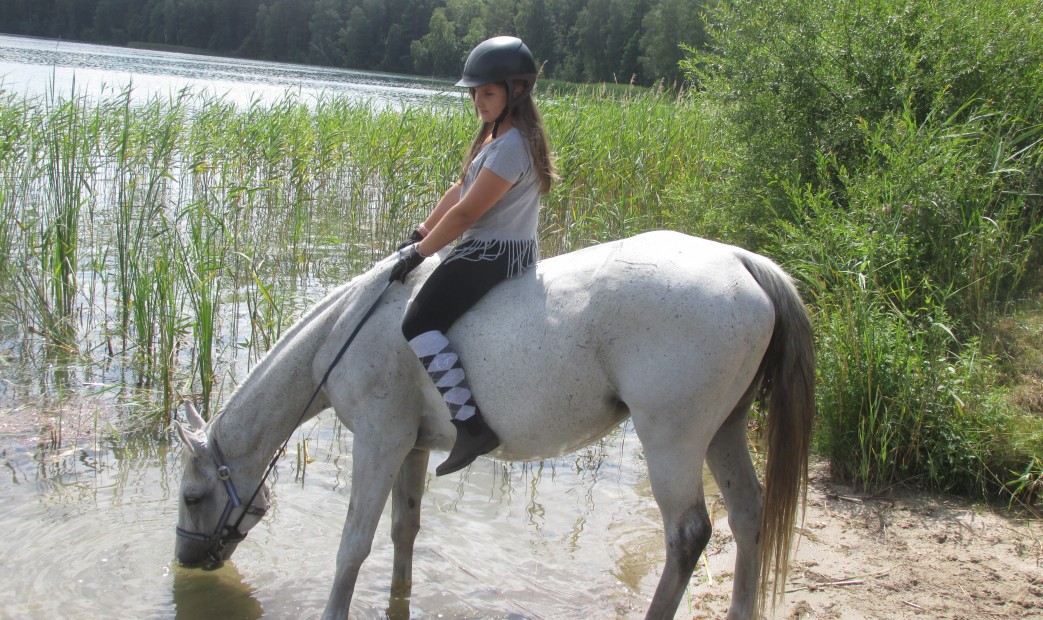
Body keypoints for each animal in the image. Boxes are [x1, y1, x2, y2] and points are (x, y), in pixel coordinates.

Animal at [175, 229, 817, 613]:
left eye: (190, 496)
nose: (185, 561)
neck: (348, 330)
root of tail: (740, 261)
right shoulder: (410, 448)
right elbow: (403, 532)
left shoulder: (379, 445)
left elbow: (352, 546)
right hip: (724, 431)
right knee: (748, 515)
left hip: (673, 440)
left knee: (688, 535)